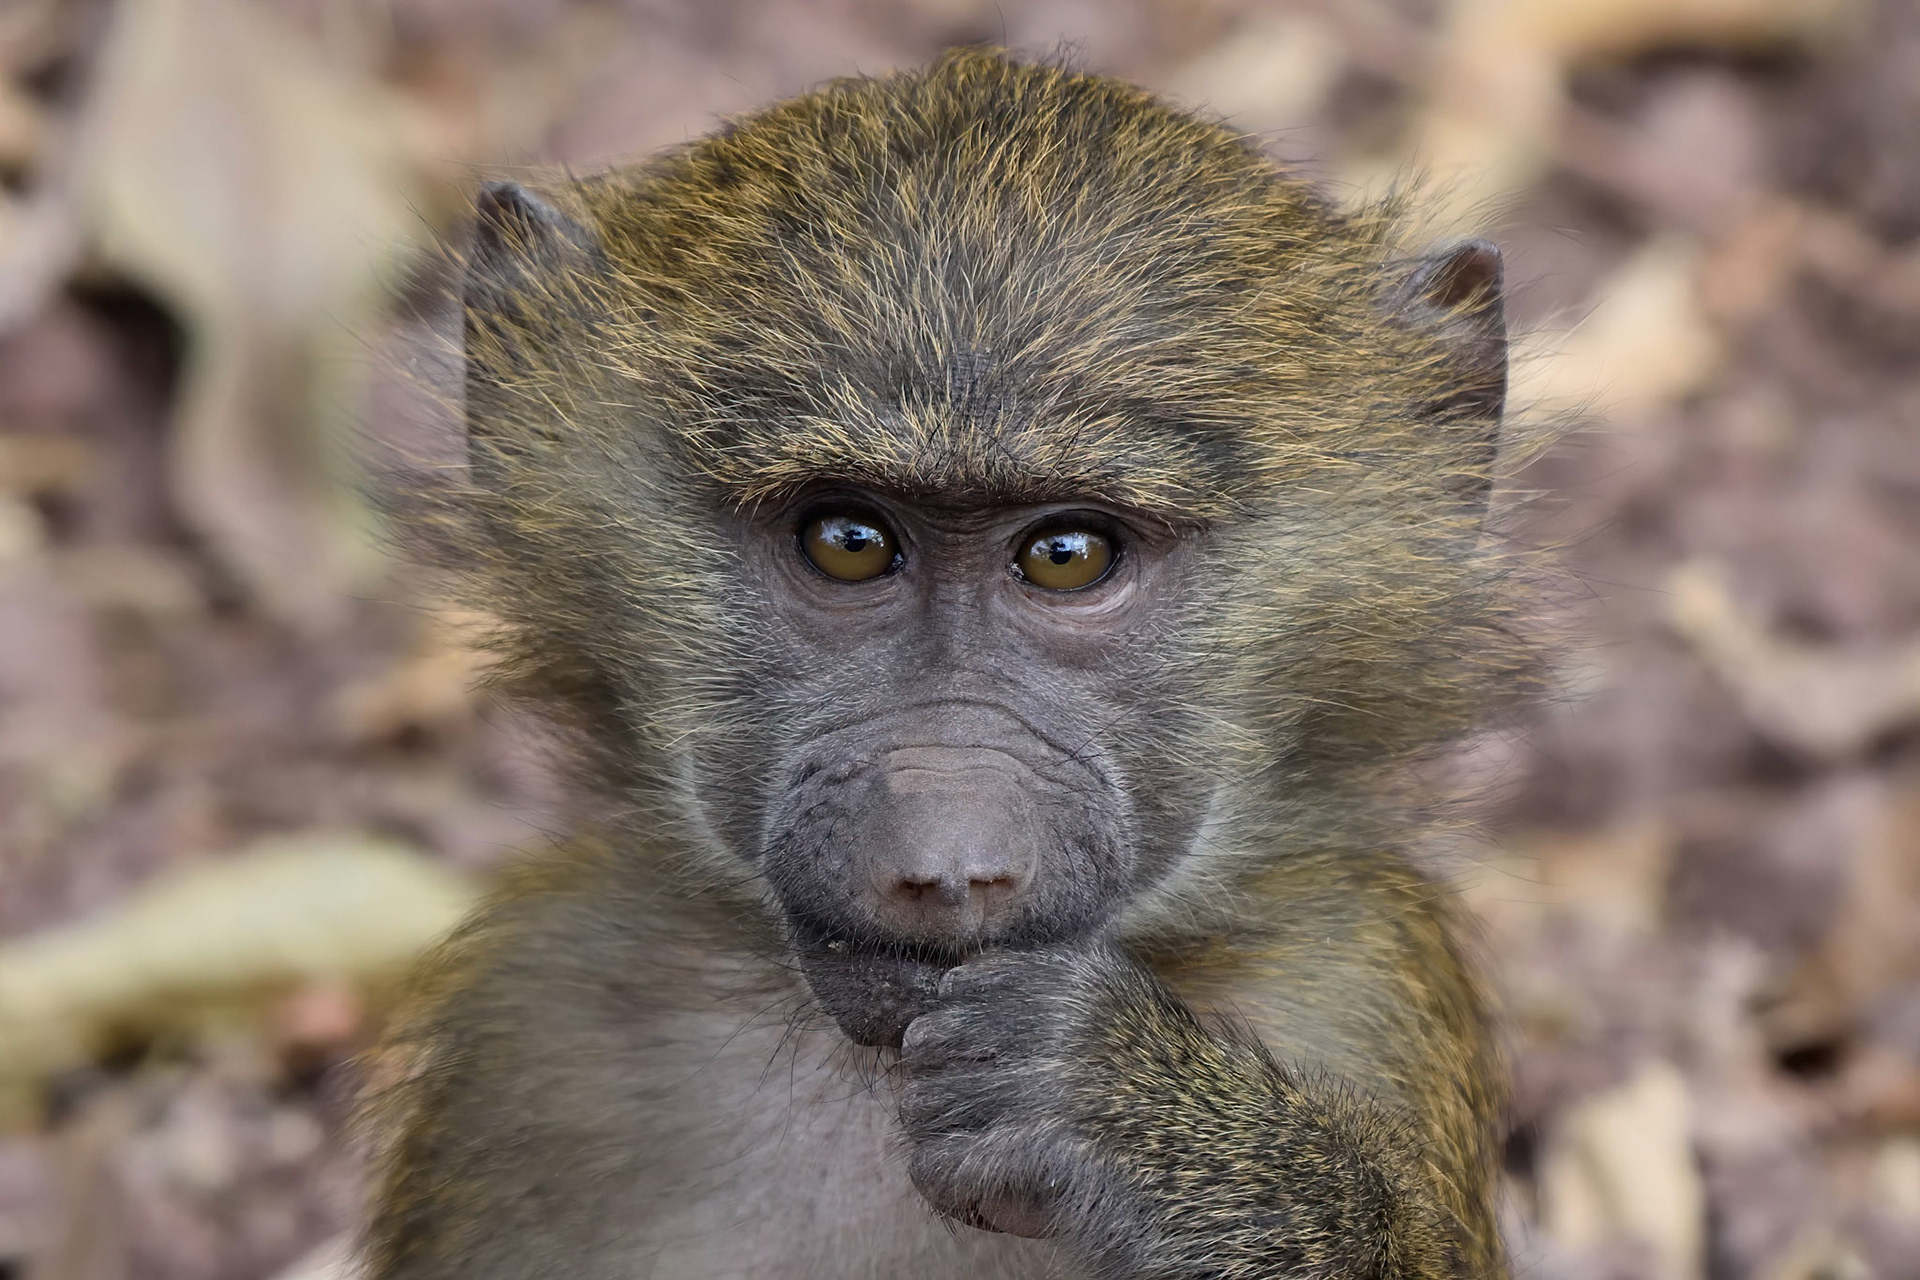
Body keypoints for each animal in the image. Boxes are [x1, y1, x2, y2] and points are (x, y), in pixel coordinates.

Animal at [363, 49, 1528, 1280]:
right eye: (848, 540)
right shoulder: (528, 1012)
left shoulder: (1360, 985)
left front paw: (1117, 1109)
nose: (947, 865)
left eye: (1068, 556)